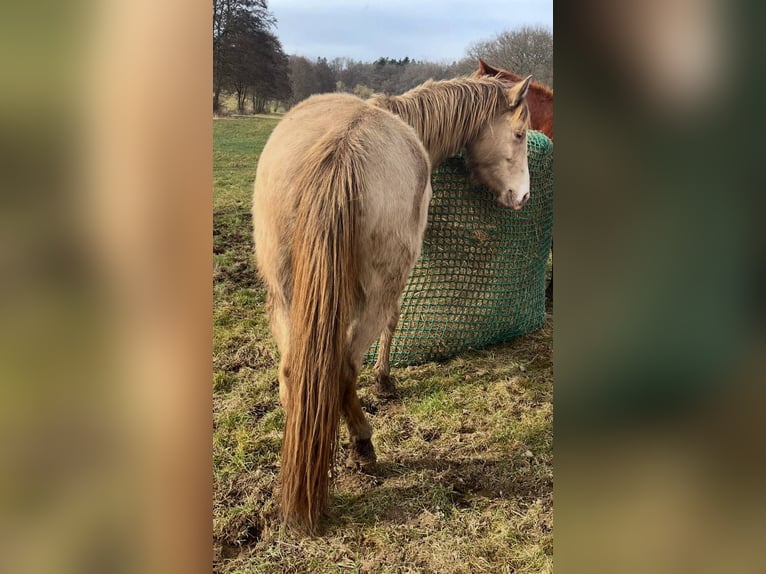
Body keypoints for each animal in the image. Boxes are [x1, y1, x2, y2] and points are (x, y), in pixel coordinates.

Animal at [252, 66, 532, 534]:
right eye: (520, 133)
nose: (523, 196)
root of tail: (340, 153)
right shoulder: (395, 285)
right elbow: (394, 323)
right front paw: (384, 381)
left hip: (284, 297)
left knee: (295, 372)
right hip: (375, 291)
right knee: (345, 366)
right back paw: (363, 445)